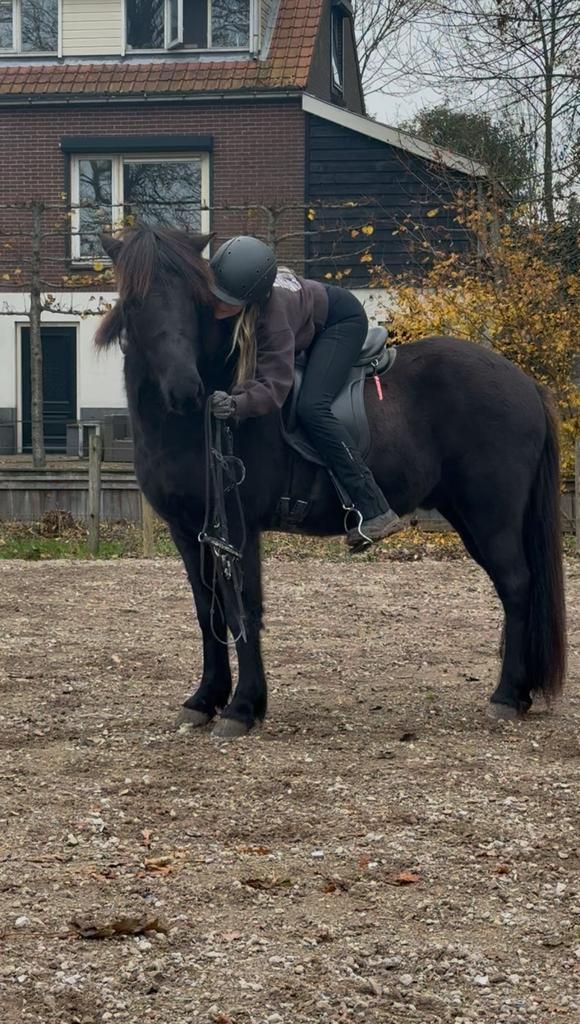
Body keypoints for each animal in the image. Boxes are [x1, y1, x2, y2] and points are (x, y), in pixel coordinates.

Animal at [96, 224, 566, 740]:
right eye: (135, 301)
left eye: (194, 298)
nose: (185, 389)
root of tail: (524, 382)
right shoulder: (190, 531)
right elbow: (209, 612)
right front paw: (204, 700)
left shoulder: (237, 528)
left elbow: (244, 609)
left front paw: (243, 707)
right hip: (469, 517)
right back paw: (520, 693)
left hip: (491, 516)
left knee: (517, 586)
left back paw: (506, 696)